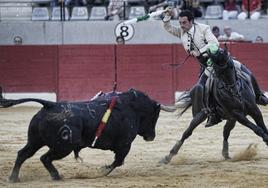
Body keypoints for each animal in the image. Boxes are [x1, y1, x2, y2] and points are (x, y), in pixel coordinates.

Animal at [0, 89, 161, 183]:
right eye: (154, 117)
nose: (151, 136)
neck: (132, 108)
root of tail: (50, 105)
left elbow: (118, 162)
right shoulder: (125, 145)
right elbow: (118, 162)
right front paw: (101, 171)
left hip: (35, 141)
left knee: (23, 154)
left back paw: (14, 178)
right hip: (63, 147)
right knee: (44, 158)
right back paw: (56, 176)